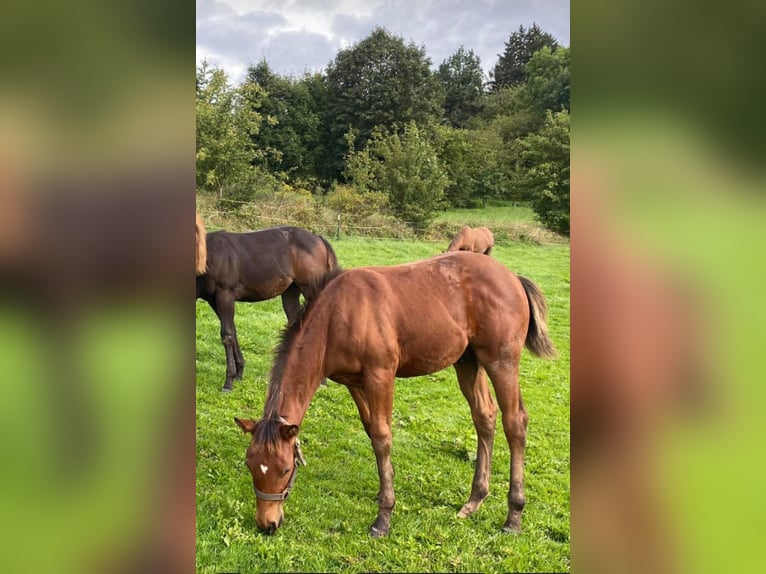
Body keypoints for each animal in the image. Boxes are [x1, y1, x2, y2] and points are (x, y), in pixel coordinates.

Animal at [196, 225, 338, 392]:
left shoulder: (225, 294)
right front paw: (239, 373)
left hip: (311, 289)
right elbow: (233, 331)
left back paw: (321, 380)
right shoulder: (213, 300)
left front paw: (228, 381)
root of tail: (319, 239)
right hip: (290, 292)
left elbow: (227, 335)